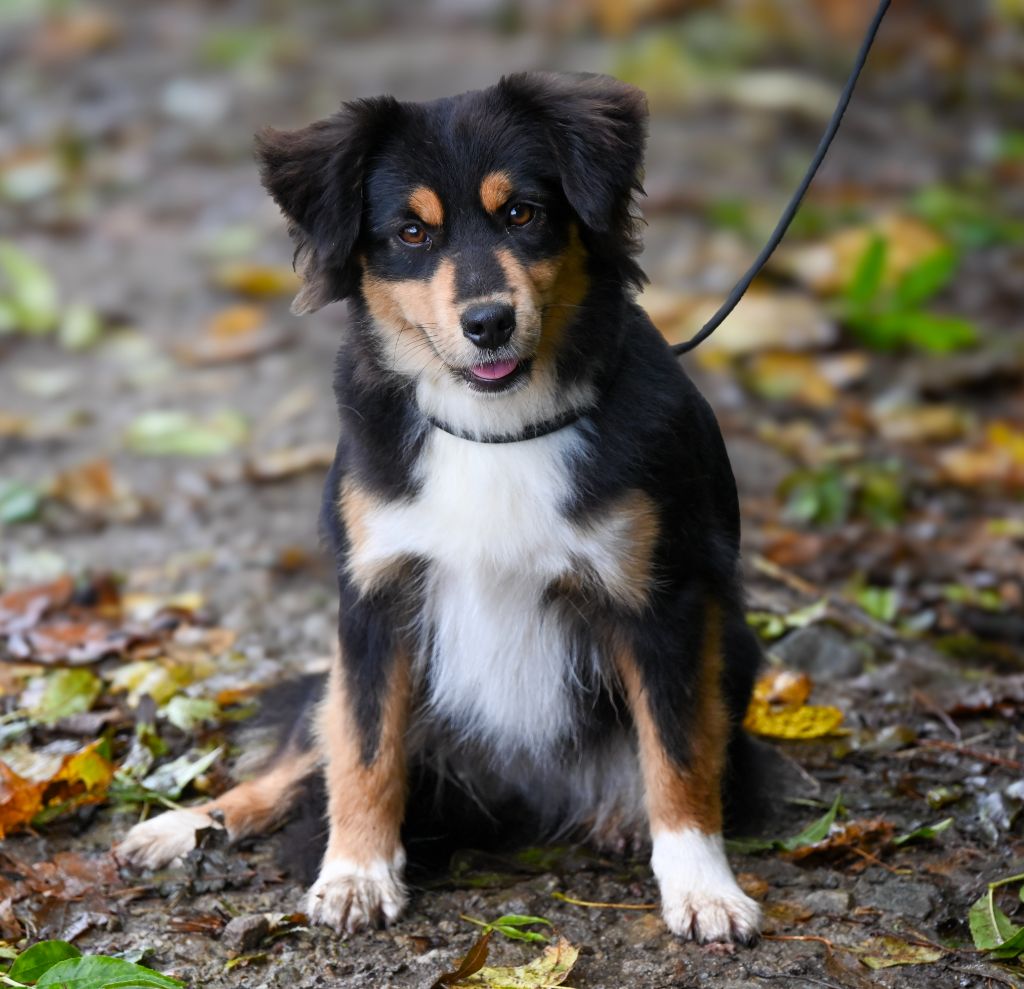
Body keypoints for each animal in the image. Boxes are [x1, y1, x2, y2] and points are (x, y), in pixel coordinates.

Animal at [117, 73, 761, 950]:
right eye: (412, 232)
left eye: (522, 212)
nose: (488, 322)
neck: (496, 426)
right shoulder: (374, 596)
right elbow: (363, 752)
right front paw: (355, 873)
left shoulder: (665, 601)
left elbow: (680, 754)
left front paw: (702, 886)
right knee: (306, 752)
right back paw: (188, 822)